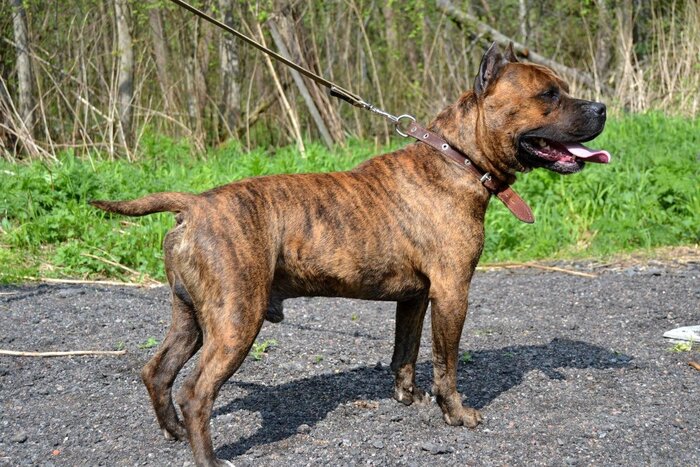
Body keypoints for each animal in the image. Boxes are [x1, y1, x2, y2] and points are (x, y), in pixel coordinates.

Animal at [92, 43, 609, 466]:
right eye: (548, 95)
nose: (602, 107)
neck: (458, 159)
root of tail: (194, 205)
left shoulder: (415, 299)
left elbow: (406, 352)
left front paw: (408, 397)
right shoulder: (452, 293)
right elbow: (447, 364)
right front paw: (456, 413)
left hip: (193, 318)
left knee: (158, 372)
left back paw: (175, 433)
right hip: (237, 318)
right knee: (196, 392)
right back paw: (209, 457)